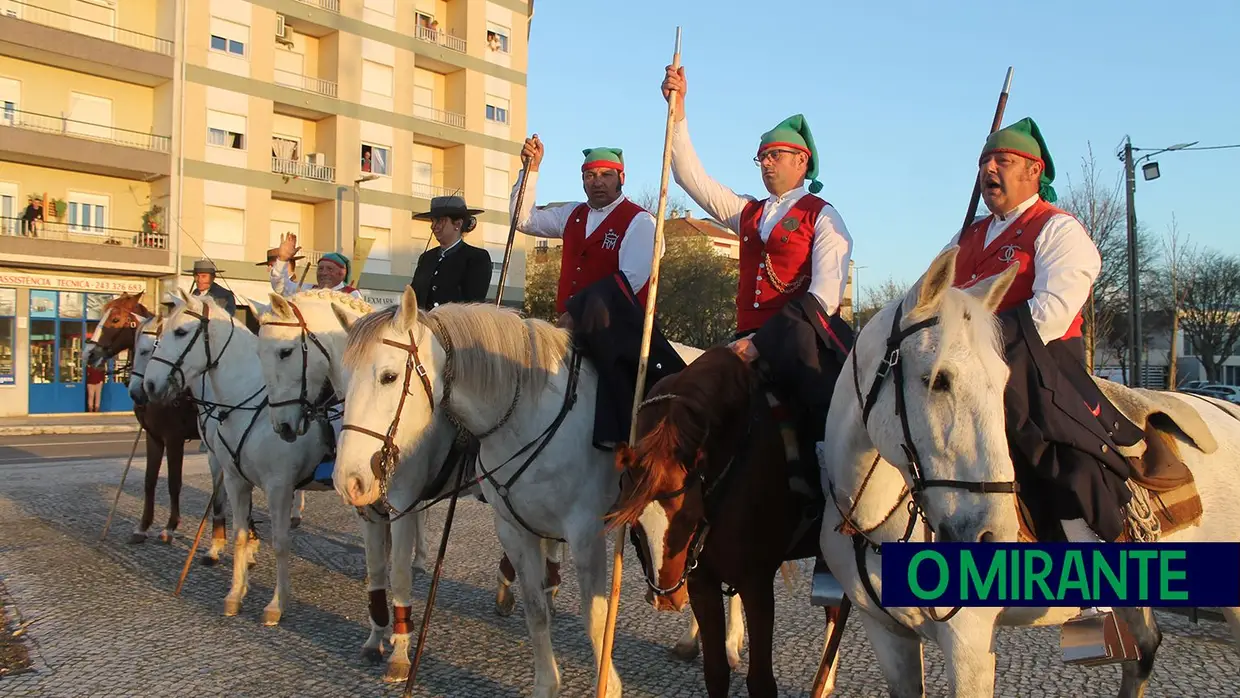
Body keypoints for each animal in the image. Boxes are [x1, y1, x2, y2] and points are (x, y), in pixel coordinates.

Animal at [142, 292, 334, 624]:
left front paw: (277, 604)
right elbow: (240, 535)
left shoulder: (279, 487)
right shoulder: (235, 480)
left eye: (180, 332)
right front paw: (235, 594)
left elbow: (280, 542)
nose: (150, 385)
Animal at [254, 291, 438, 684]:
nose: (283, 427)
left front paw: (400, 652)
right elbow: (377, 567)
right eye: (258, 353)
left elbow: (398, 573)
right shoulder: (366, 504)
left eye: (285, 352)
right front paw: (376, 637)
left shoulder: (400, 503)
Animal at [327, 287, 744, 698]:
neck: (527, 412)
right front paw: (547, 682)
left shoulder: (585, 534)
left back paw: (726, 642)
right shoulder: (513, 529)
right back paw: (694, 639)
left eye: (389, 376)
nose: (349, 481)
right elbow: (534, 608)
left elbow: (595, 616)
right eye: (340, 381)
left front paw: (607, 685)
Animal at [607, 349, 848, 698]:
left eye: (690, 517)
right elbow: (716, 672)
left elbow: (761, 682)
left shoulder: (755, 583)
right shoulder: (701, 581)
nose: (665, 599)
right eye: (636, 526)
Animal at [813, 246, 1240, 698]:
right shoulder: (888, 637)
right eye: (939, 379)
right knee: (1143, 650)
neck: (874, 518)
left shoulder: (968, 644)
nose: (991, 538)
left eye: (1003, 382)